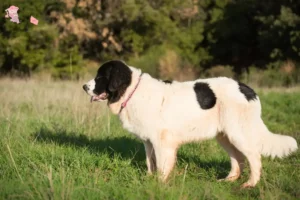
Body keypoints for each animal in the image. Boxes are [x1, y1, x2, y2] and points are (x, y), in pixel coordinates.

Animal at [82, 59, 298, 188]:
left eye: (100, 77)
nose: (84, 86)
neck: (131, 90)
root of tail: (247, 89)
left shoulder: (162, 142)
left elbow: (161, 165)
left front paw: (160, 184)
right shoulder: (148, 141)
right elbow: (150, 162)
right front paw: (150, 180)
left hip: (238, 133)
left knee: (254, 156)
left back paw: (250, 184)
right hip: (225, 136)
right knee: (238, 158)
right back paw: (229, 179)